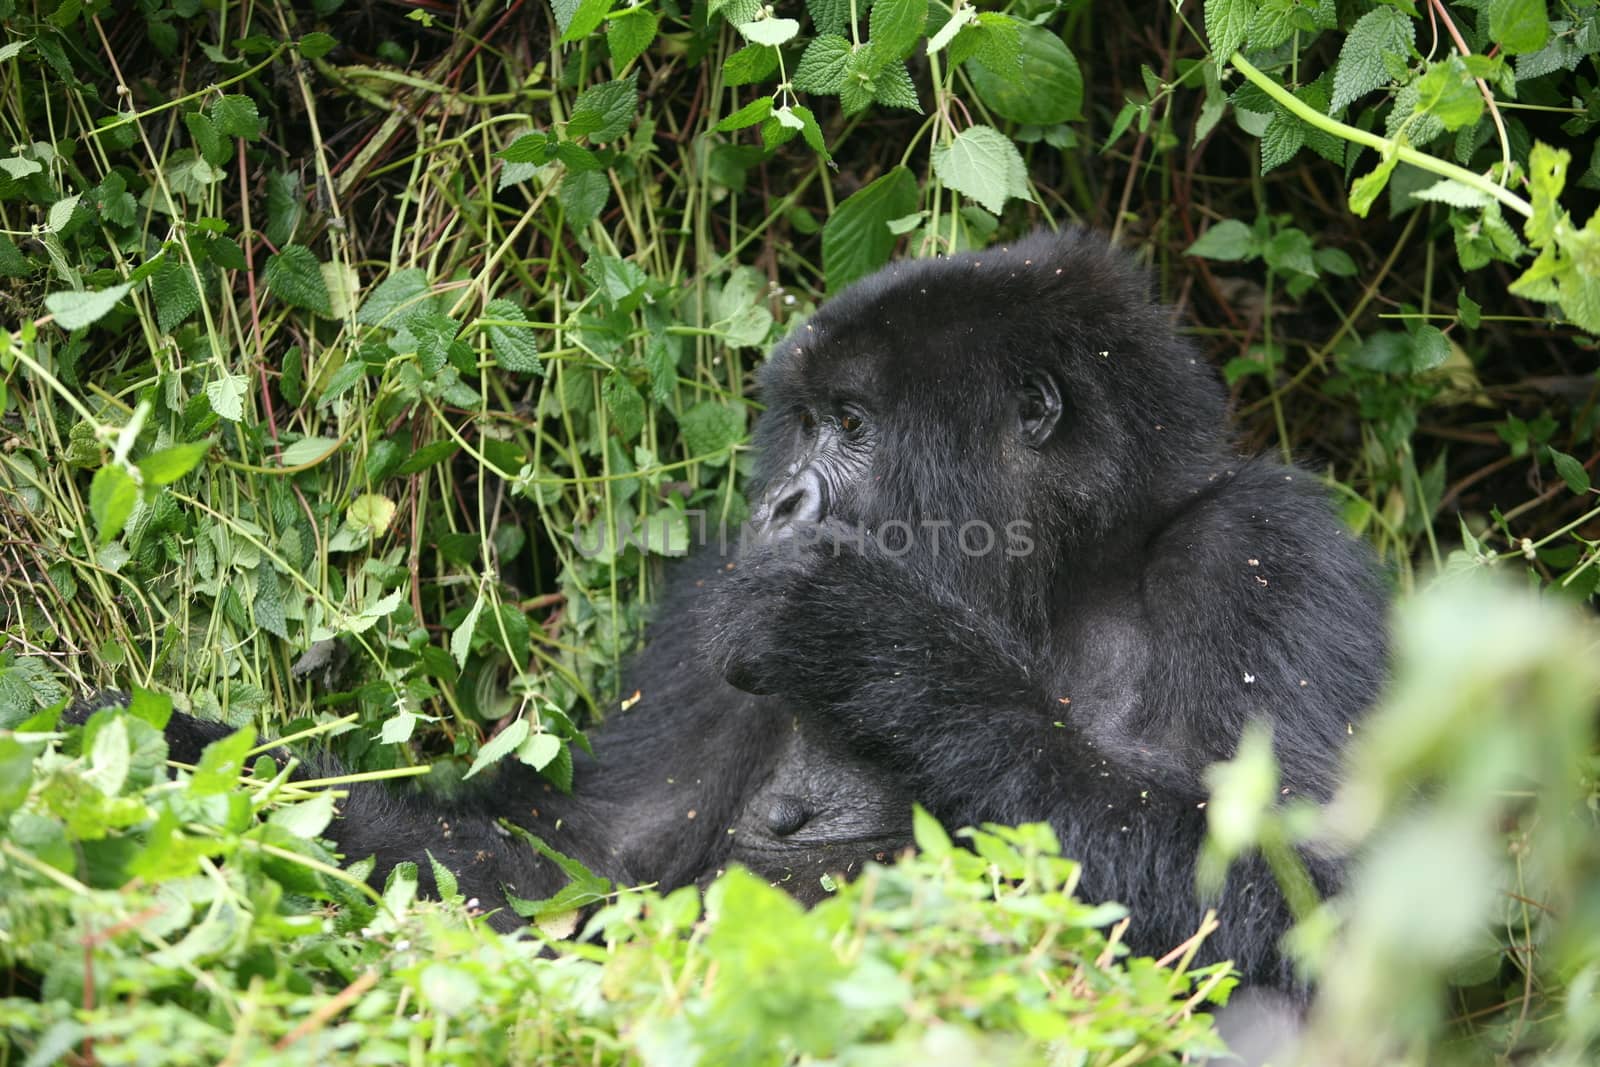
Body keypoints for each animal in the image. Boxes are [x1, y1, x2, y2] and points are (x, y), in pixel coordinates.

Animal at [72, 231, 1388, 991]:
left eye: (851, 425)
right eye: (802, 424)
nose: (782, 500)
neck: (1055, 573)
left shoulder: (1269, 549)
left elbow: (1323, 897)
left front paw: (876, 645)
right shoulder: (710, 596)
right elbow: (572, 873)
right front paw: (169, 768)